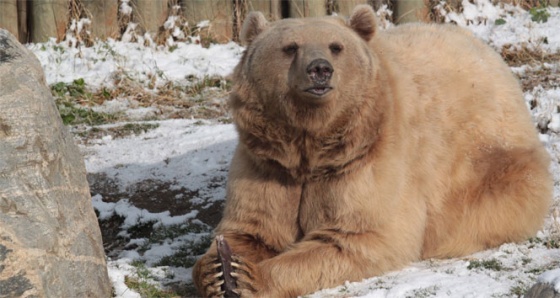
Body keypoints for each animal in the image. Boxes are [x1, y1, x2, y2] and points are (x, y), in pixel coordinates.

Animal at [192, 4, 552, 298]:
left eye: (335, 47)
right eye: (290, 47)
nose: (319, 69)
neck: (311, 148)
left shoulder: (366, 161)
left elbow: (358, 236)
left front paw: (249, 276)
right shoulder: (267, 163)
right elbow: (250, 228)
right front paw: (217, 270)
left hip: (489, 162)